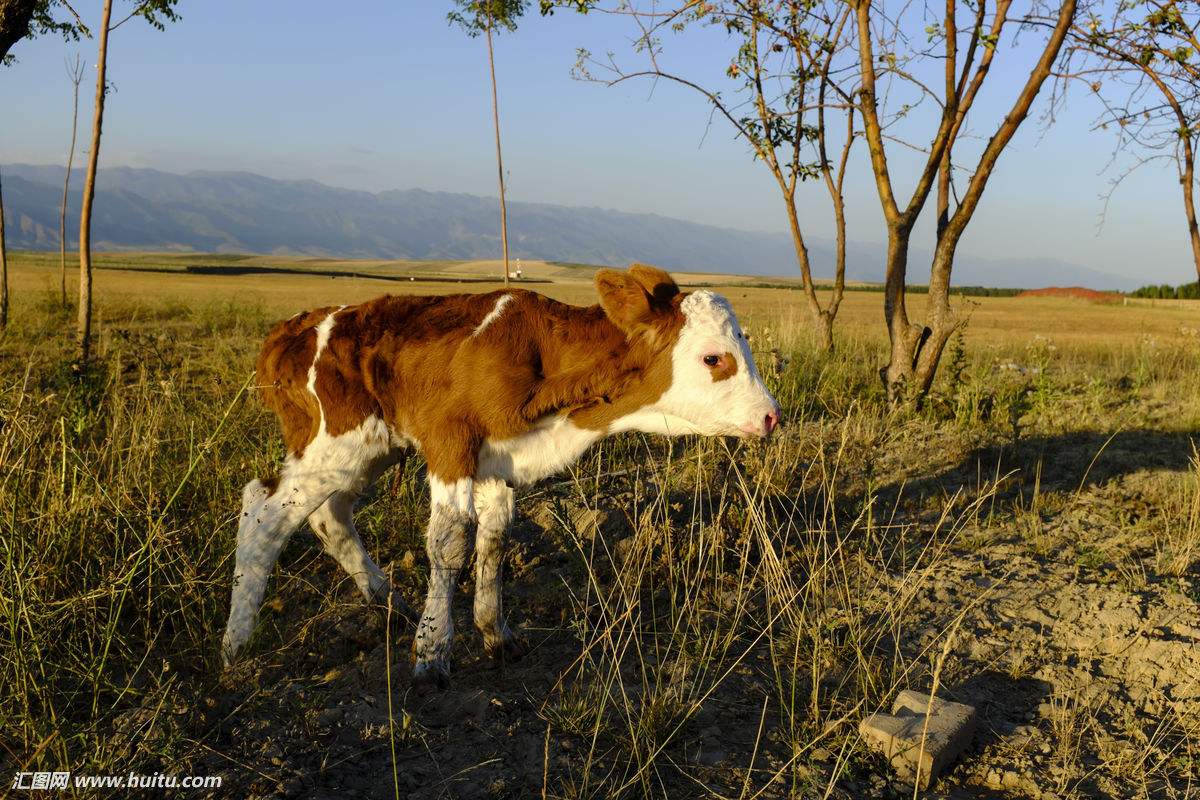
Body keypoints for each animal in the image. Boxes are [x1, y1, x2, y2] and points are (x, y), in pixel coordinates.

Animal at [220, 262, 782, 690]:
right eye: (714, 358)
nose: (771, 416)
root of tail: (294, 327)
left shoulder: (498, 461)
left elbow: (493, 539)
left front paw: (495, 632)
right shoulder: (450, 443)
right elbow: (449, 542)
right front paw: (432, 652)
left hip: (366, 451)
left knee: (330, 515)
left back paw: (387, 600)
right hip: (334, 444)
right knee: (262, 511)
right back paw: (236, 643)